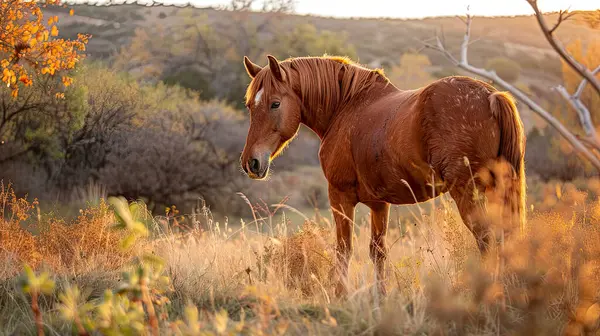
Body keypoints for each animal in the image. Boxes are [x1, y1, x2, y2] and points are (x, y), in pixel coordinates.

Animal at [239, 53, 524, 296]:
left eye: (275, 103)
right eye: (250, 106)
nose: (251, 163)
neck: (345, 107)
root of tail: (491, 96)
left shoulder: (340, 196)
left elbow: (344, 249)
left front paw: (341, 296)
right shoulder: (379, 204)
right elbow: (378, 252)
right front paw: (380, 297)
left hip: (468, 192)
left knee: (486, 239)